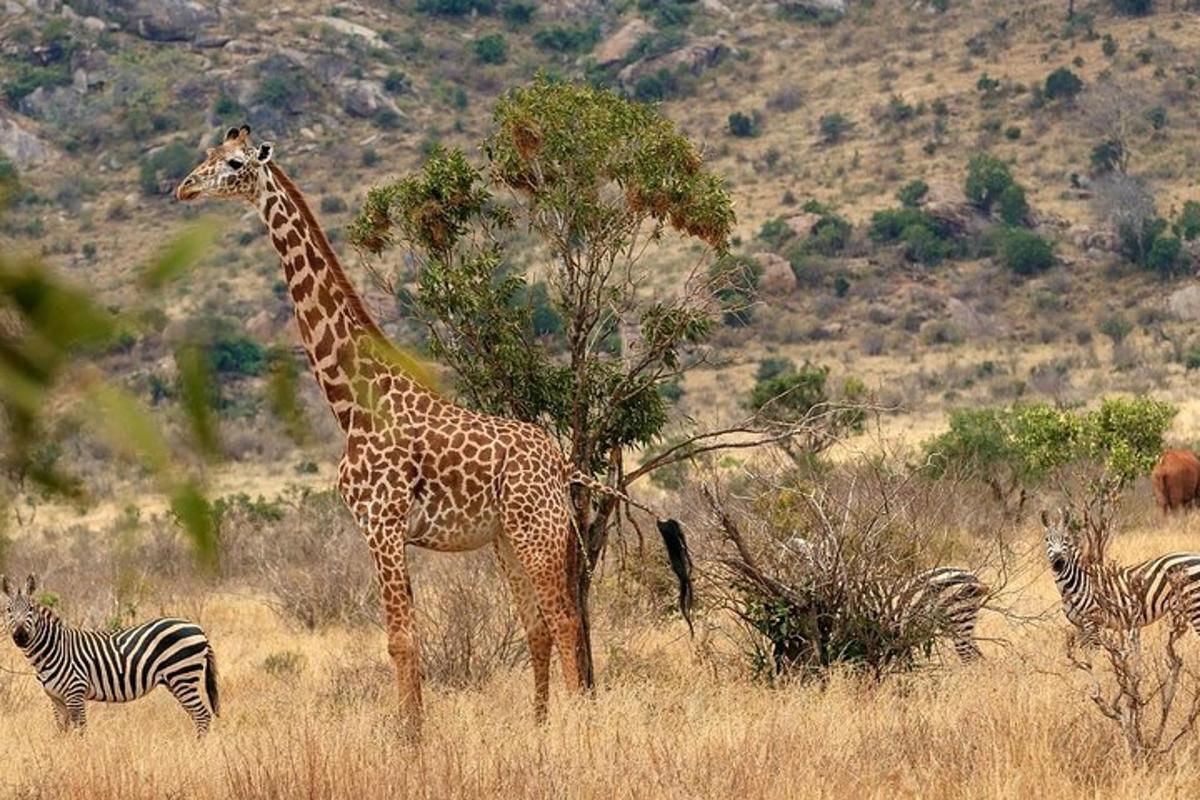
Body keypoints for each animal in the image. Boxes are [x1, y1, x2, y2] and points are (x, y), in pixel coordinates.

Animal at [1, 573, 220, 734]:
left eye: (30, 609)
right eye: (8, 610)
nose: (20, 636)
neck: (53, 649)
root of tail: (198, 628)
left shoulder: (75, 692)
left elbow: (80, 731)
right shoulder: (56, 699)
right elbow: (63, 731)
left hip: (182, 676)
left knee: (202, 715)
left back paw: (199, 751)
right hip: (176, 680)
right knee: (197, 715)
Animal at [172, 126, 691, 734]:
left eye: (233, 164)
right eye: (206, 155)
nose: (184, 188)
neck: (353, 403)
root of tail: (562, 461)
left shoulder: (382, 523)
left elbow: (401, 639)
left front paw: (409, 738)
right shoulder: (385, 529)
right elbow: (407, 637)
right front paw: (414, 731)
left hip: (537, 532)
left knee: (566, 620)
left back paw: (575, 725)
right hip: (506, 539)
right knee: (540, 624)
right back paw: (537, 727)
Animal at [1036, 510, 1200, 642]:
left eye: (1066, 539)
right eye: (1047, 539)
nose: (1058, 563)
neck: (1075, 582)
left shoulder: (1093, 623)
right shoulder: (1080, 626)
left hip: (1194, 604)